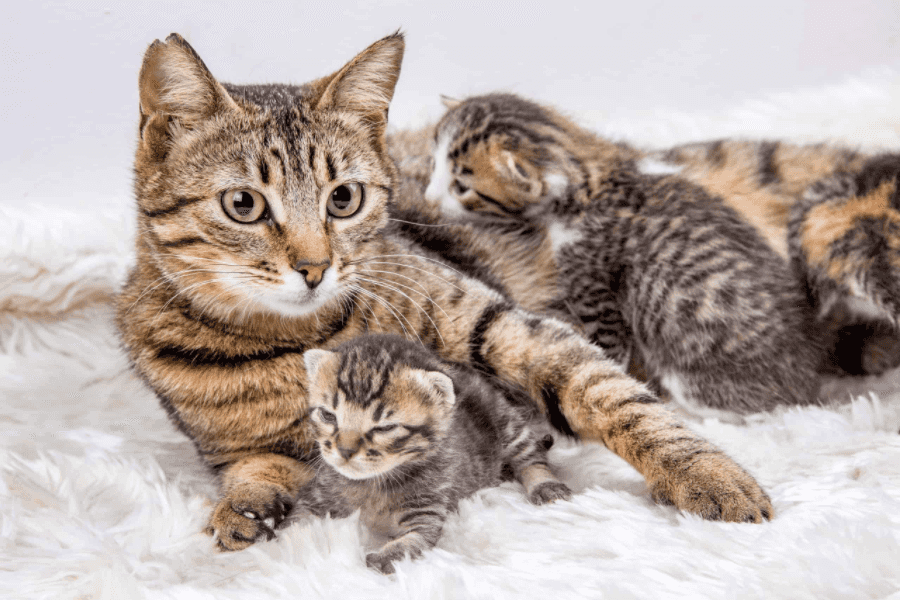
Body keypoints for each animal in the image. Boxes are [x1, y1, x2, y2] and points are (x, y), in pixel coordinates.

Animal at [116, 31, 768, 548]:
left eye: (343, 198)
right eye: (243, 204)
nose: (315, 267)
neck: (288, 340)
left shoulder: (506, 325)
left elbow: (614, 398)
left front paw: (708, 474)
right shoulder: (235, 447)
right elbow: (257, 468)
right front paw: (244, 508)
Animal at [298, 336, 572, 576]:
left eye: (385, 428)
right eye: (328, 415)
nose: (345, 451)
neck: (374, 483)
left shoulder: (427, 509)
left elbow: (417, 538)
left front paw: (389, 554)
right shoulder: (313, 497)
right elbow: (298, 523)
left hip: (508, 423)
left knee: (531, 455)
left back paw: (545, 484)